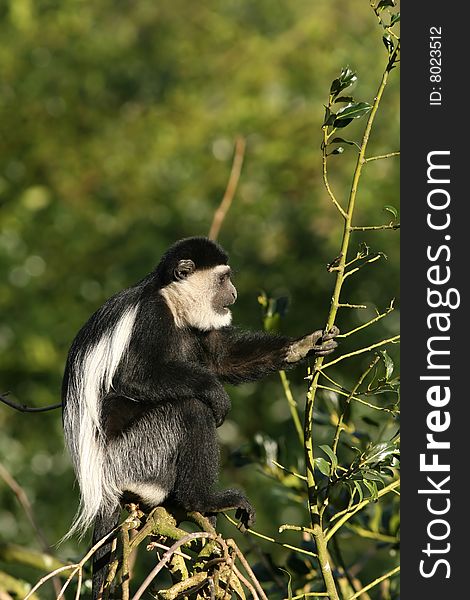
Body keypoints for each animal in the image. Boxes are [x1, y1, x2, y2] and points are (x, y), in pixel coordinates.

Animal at [61, 237, 338, 596]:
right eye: (224, 279)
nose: (233, 293)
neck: (171, 300)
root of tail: (99, 483)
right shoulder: (150, 317)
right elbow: (133, 378)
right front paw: (215, 393)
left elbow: (222, 359)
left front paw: (304, 345)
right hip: (134, 456)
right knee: (188, 409)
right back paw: (202, 498)